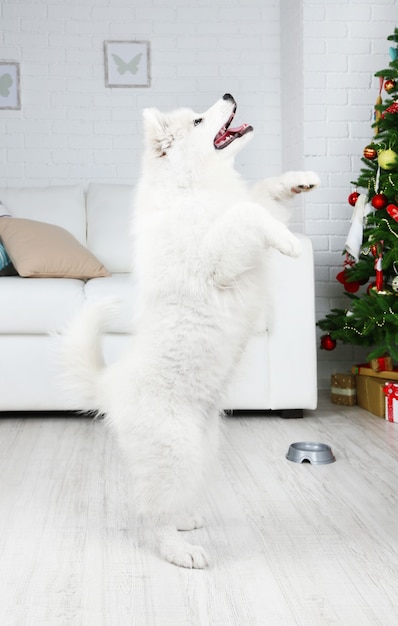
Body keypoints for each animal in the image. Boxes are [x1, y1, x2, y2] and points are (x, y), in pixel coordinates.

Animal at [59, 92, 320, 564]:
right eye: (199, 120)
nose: (230, 95)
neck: (192, 185)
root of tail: (109, 386)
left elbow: (260, 197)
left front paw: (298, 180)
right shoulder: (217, 257)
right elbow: (249, 213)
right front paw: (289, 243)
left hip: (203, 447)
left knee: (170, 501)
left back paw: (186, 521)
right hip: (173, 451)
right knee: (152, 514)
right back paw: (183, 551)